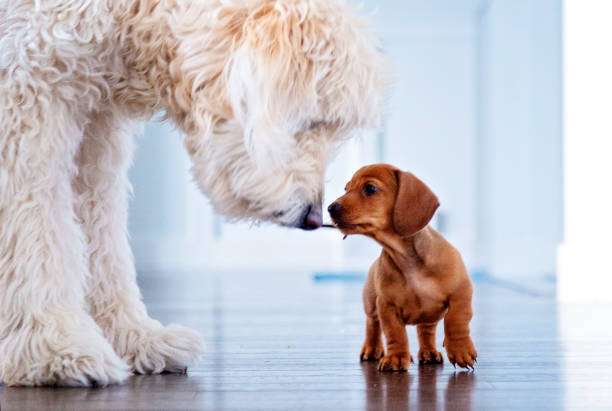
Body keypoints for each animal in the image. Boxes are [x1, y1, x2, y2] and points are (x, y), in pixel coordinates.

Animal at [0, 0, 382, 386]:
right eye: (312, 121)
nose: (314, 217)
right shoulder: (24, 94)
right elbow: (34, 232)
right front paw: (53, 350)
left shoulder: (95, 130)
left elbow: (103, 244)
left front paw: (133, 337)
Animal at [330, 165, 478, 374]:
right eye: (346, 189)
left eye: (370, 188)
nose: (330, 208)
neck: (405, 259)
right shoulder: (386, 305)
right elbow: (395, 333)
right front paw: (397, 357)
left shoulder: (462, 292)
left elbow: (456, 321)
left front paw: (460, 350)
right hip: (370, 304)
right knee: (372, 325)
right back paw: (372, 348)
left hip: (429, 315)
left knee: (426, 332)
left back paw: (429, 352)